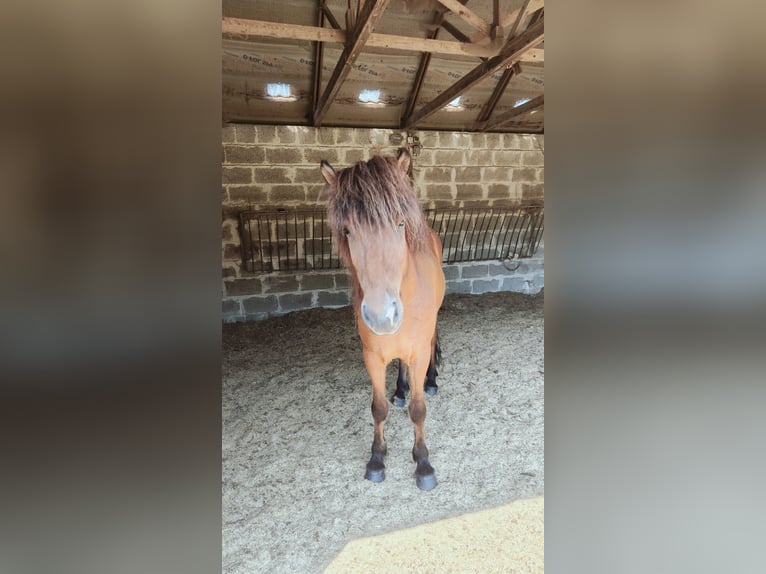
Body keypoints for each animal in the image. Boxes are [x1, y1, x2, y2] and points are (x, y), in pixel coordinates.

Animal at [320, 148, 448, 490]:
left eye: (400, 223)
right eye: (347, 230)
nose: (382, 317)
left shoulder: (419, 352)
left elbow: (418, 410)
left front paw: (423, 464)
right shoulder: (372, 356)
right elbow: (378, 408)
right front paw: (377, 458)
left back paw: (430, 381)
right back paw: (400, 390)